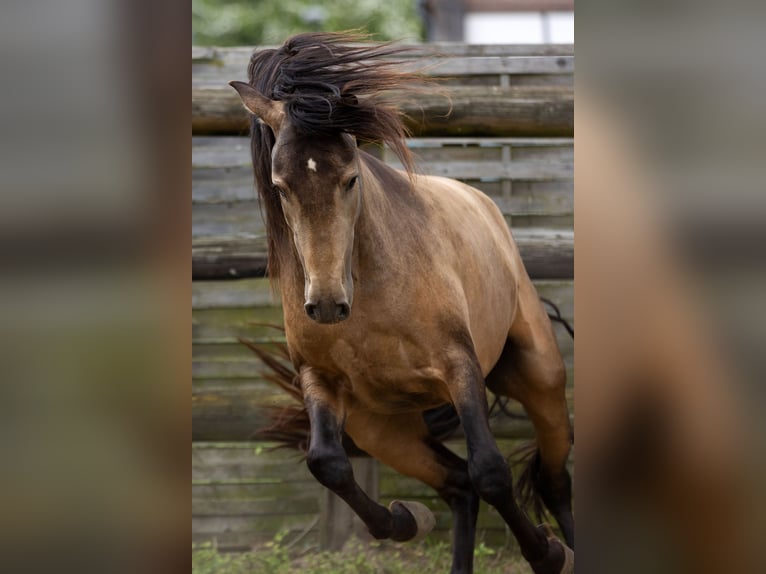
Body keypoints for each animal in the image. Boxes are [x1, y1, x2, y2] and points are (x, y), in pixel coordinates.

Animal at [231, 32, 572, 574]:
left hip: (539, 377)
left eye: (350, 178)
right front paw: (404, 519)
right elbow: (327, 463)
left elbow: (492, 470)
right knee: (459, 486)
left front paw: (548, 552)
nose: (326, 306)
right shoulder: (319, 378)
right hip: (386, 429)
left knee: (552, 481)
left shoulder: (459, 366)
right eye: (281, 187)